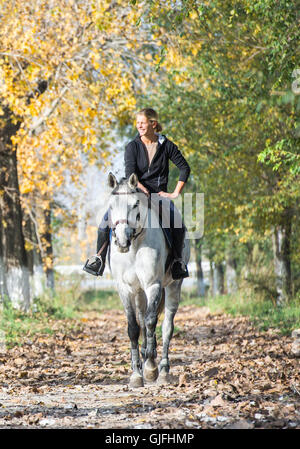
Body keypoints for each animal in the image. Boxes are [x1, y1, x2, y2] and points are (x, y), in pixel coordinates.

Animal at [106, 172, 189, 384]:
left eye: (135, 203)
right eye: (111, 205)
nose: (122, 241)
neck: (135, 245)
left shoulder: (153, 285)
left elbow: (152, 321)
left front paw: (151, 368)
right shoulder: (125, 289)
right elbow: (134, 327)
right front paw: (136, 373)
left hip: (173, 286)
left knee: (166, 326)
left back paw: (164, 370)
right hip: (139, 293)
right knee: (142, 321)